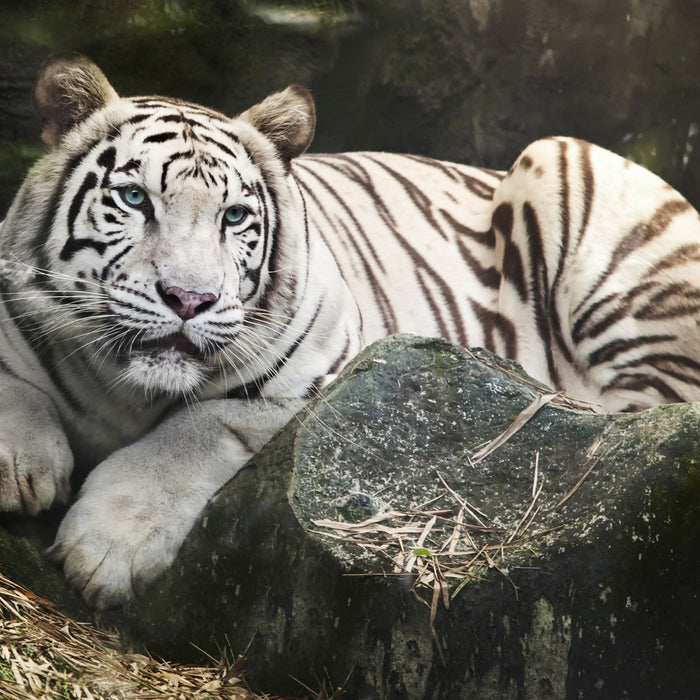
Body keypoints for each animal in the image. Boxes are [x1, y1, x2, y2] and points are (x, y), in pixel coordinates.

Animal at [1, 53, 700, 608]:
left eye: (234, 217)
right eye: (135, 200)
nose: (190, 299)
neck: (126, 389)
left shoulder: (317, 380)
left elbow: (199, 428)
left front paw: (105, 548)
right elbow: (15, 385)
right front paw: (19, 467)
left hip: (569, 167)